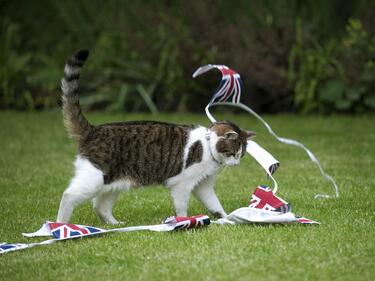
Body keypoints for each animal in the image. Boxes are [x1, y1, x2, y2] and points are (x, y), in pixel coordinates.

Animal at [56, 48, 256, 223]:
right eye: (233, 153)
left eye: (241, 155)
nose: (236, 164)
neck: (207, 146)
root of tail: (94, 129)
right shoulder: (181, 184)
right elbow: (181, 208)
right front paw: (185, 221)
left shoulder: (203, 186)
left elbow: (215, 204)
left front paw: (226, 218)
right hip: (95, 177)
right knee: (69, 195)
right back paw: (61, 224)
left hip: (113, 182)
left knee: (100, 206)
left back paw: (114, 224)